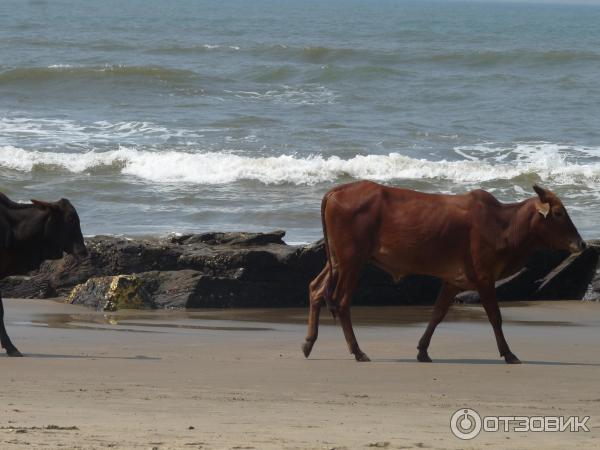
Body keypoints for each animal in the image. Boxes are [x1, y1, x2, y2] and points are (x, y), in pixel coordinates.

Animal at [302, 181, 584, 364]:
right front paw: (509, 353)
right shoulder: (484, 278)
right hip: (352, 260)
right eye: (558, 213)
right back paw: (357, 351)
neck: (503, 224)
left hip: (337, 260)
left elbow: (437, 314)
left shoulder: (453, 281)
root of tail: (335, 191)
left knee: (316, 289)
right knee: (341, 302)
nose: (580, 244)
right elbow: (495, 317)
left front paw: (422, 350)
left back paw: (308, 343)